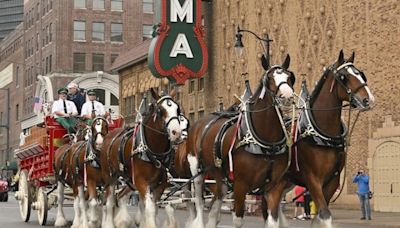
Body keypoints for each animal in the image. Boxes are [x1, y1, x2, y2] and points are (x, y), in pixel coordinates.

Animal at [100, 89, 183, 228]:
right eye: (160, 110)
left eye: (177, 109)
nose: (176, 132)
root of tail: (109, 135)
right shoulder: (141, 181)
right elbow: (149, 207)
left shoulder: (160, 184)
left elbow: (152, 207)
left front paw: (144, 222)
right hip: (110, 176)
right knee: (110, 200)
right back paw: (109, 223)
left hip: (129, 179)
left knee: (120, 196)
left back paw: (121, 220)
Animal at [186, 55, 296, 228]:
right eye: (269, 78)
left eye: (289, 77)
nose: (286, 97)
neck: (265, 145)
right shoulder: (240, 186)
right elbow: (238, 220)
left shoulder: (274, 187)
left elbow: (272, 220)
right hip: (197, 171)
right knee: (199, 201)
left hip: (220, 178)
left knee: (215, 206)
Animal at [272, 50, 376, 228]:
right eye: (343, 76)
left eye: (361, 74)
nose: (368, 99)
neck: (323, 135)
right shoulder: (313, 180)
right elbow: (325, 214)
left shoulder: (332, 182)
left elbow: (320, 216)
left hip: (285, 181)